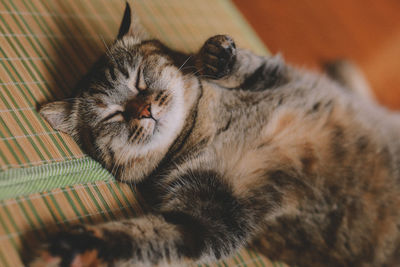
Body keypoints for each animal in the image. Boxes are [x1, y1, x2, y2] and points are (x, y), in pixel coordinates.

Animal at [30, 2, 400, 267]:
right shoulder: (209, 217)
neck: (208, 125)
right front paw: (74, 247)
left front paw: (217, 56)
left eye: (139, 79)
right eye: (113, 114)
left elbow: (244, 63)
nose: (145, 109)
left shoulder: (278, 76)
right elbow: (138, 236)